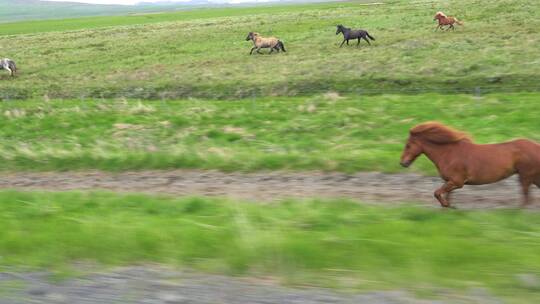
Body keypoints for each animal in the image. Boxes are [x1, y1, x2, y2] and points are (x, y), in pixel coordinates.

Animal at [398, 122, 540, 208]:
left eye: (408, 145)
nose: (402, 163)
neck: (448, 153)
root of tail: (536, 146)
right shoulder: (450, 182)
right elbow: (447, 195)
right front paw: (449, 208)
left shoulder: (457, 181)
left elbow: (437, 193)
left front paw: (448, 206)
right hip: (532, 177)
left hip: (525, 176)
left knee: (526, 197)